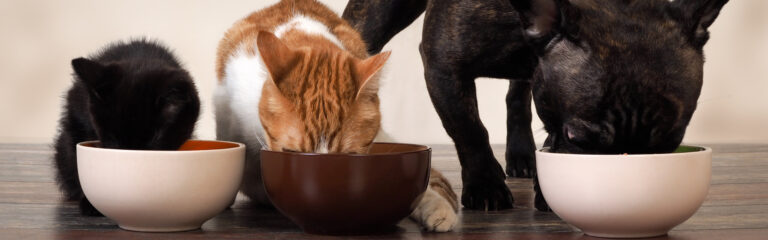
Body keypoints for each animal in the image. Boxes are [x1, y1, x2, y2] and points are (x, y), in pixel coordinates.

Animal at [344, 0, 728, 210]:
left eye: (671, 144)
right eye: (577, 137)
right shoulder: (444, 66)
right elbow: (470, 130)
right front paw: (485, 186)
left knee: (518, 97)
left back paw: (522, 154)